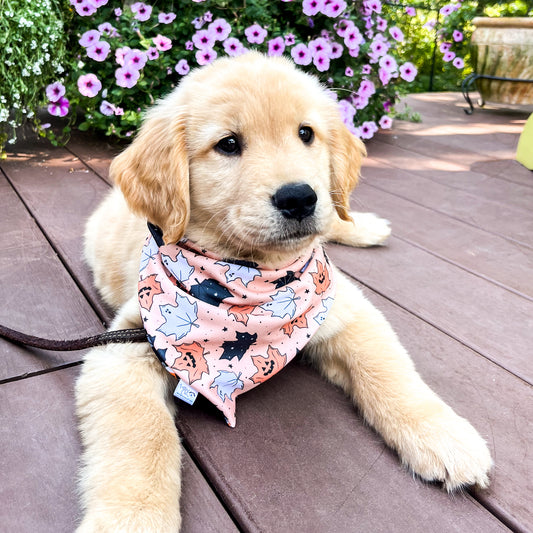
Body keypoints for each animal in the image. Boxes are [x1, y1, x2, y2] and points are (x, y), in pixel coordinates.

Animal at [77, 52, 492, 528]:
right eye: (228, 144)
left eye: (305, 134)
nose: (299, 198)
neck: (255, 281)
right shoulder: (122, 347)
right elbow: (140, 434)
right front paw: (132, 518)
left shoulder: (341, 305)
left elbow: (391, 372)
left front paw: (444, 435)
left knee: (337, 217)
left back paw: (364, 226)